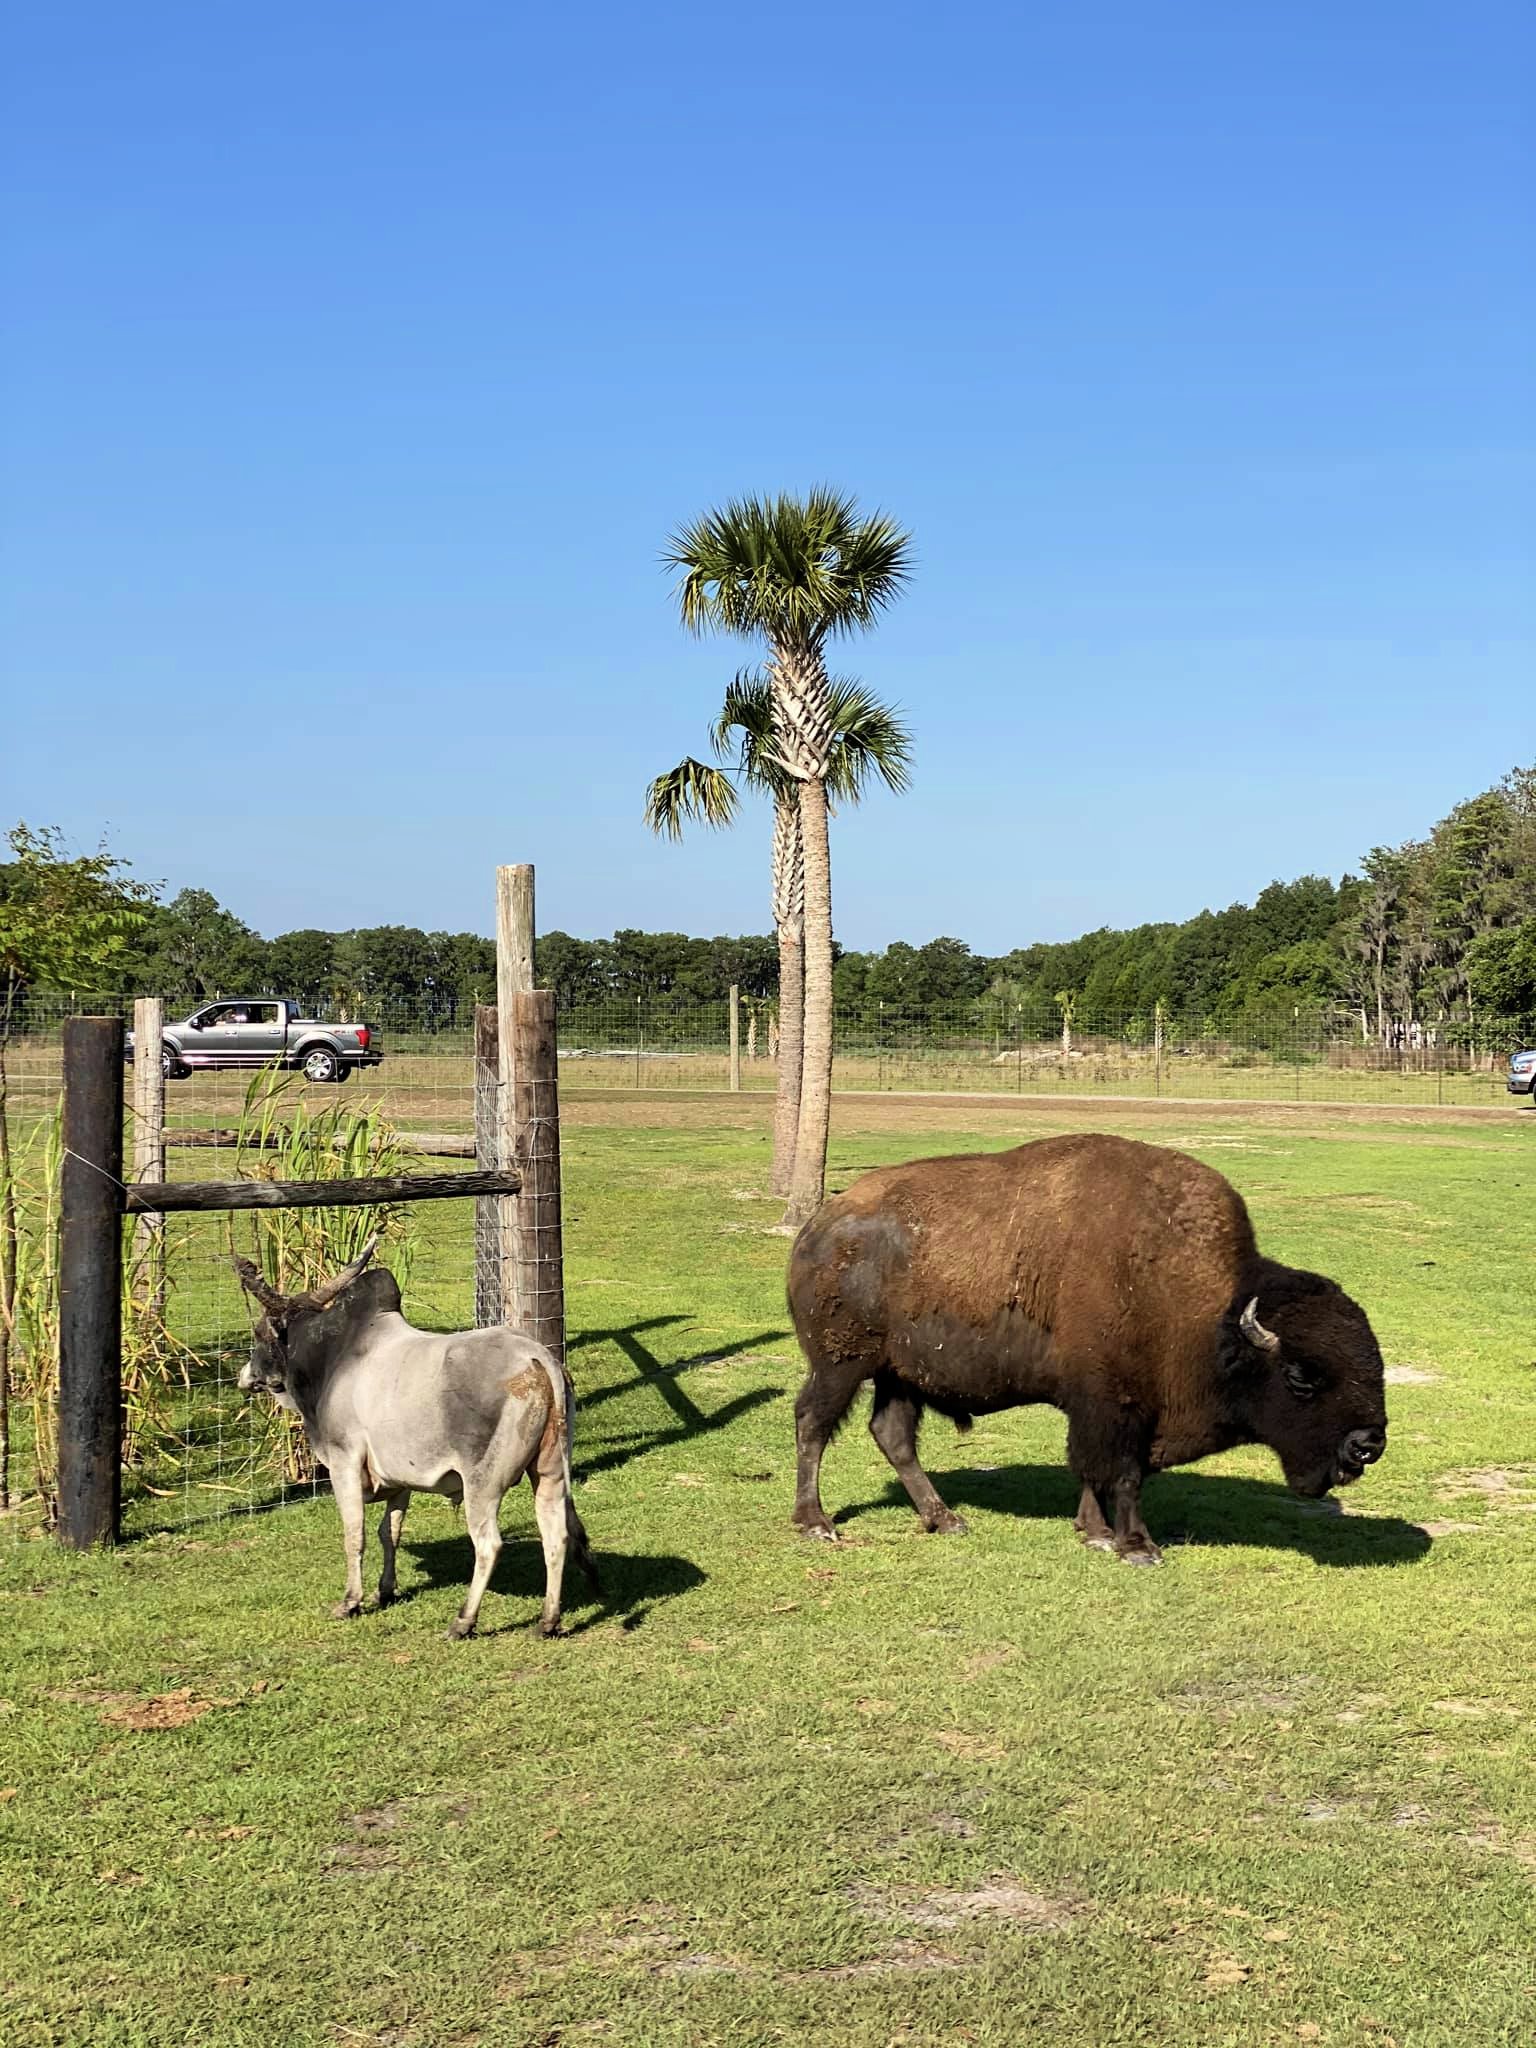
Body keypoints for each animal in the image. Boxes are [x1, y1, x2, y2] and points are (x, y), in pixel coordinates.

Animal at [234, 1236, 593, 1638]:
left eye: (259, 1333)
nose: (246, 1376)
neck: (333, 1358)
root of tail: (537, 1357)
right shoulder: (399, 1477)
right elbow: (389, 1531)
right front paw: (386, 1590)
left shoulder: (343, 1461)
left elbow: (354, 1534)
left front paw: (350, 1601)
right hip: (549, 1471)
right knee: (555, 1534)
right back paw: (548, 1620)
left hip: (482, 1481)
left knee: (488, 1544)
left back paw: (463, 1621)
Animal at [794, 1130, 1392, 1556]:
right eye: (1300, 1377)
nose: (1368, 1445)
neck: (1206, 1306)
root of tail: (819, 1226)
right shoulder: (1114, 1405)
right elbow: (1121, 1474)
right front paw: (1136, 1546)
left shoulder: (1109, 1410)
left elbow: (1096, 1471)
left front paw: (1095, 1532)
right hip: (841, 1363)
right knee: (813, 1424)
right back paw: (816, 1524)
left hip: (899, 1375)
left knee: (892, 1435)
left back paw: (945, 1519)